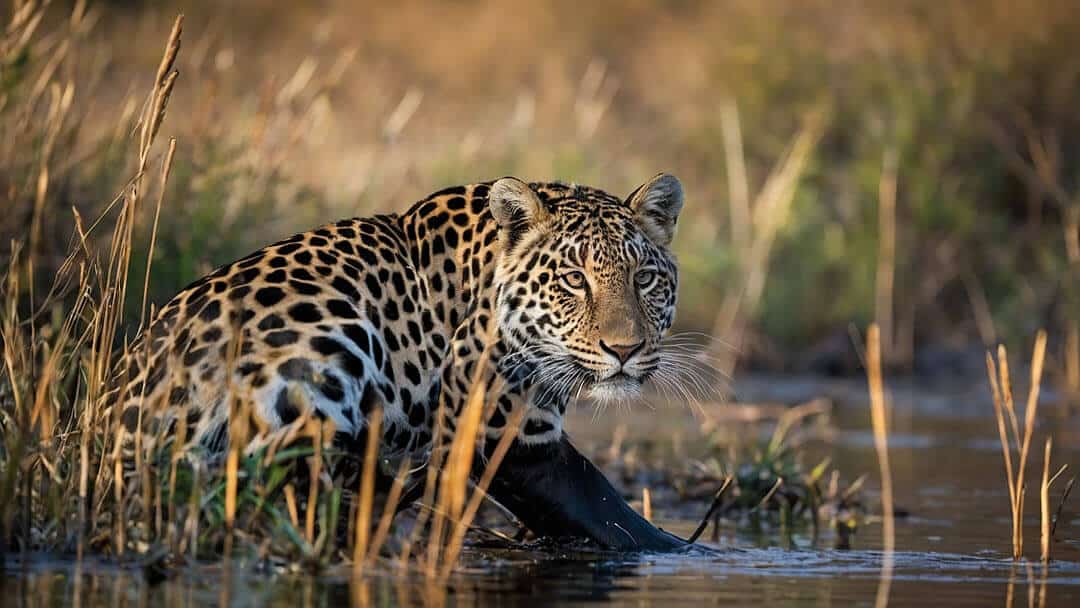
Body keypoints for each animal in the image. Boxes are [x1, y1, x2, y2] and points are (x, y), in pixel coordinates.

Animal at [107, 171, 691, 552]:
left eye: (644, 279)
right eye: (574, 280)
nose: (624, 350)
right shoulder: (510, 430)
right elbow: (615, 516)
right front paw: (692, 552)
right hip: (335, 326)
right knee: (278, 470)